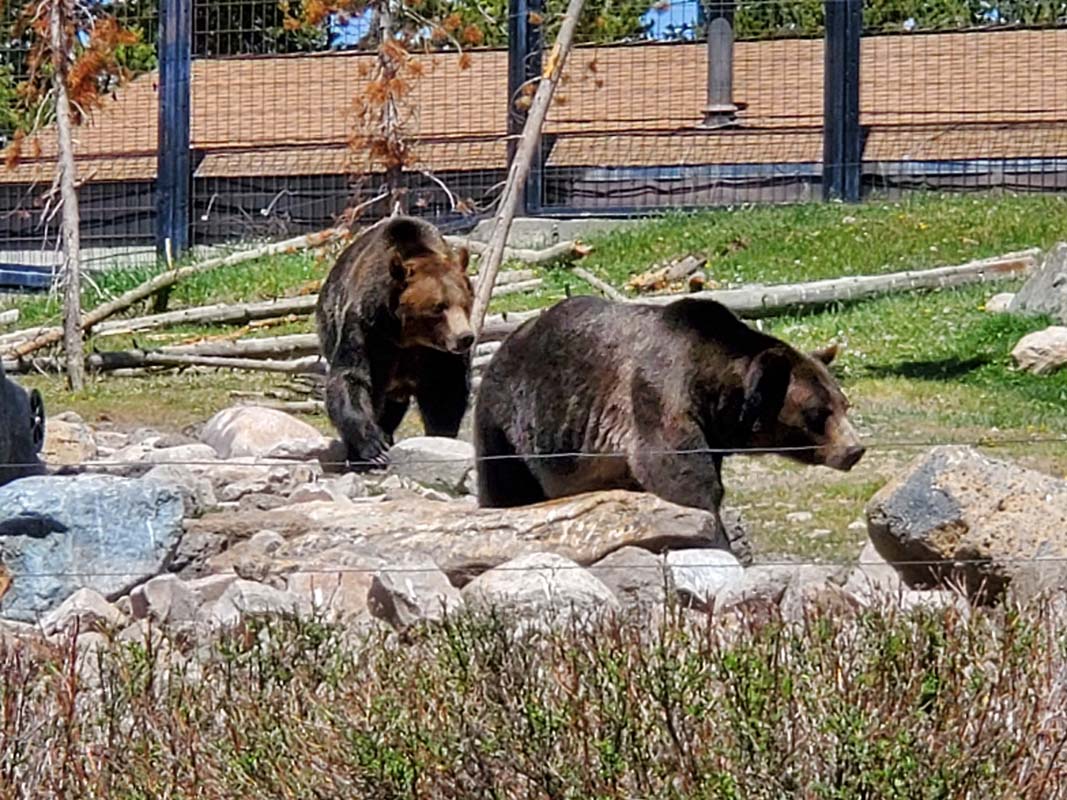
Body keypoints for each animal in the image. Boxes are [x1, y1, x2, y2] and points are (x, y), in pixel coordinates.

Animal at [315, 216, 475, 473]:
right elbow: (352, 378)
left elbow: (446, 389)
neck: (407, 336)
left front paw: (440, 436)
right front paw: (374, 449)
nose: (465, 337)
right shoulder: (369, 330)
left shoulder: (436, 354)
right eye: (438, 307)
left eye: (465, 302)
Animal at [475, 298, 866, 541]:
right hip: (507, 419)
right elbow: (683, 479)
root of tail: (504, 343)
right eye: (818, 412)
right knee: (506, 483)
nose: (854, 449)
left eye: (843, 403)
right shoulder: (658, 396)